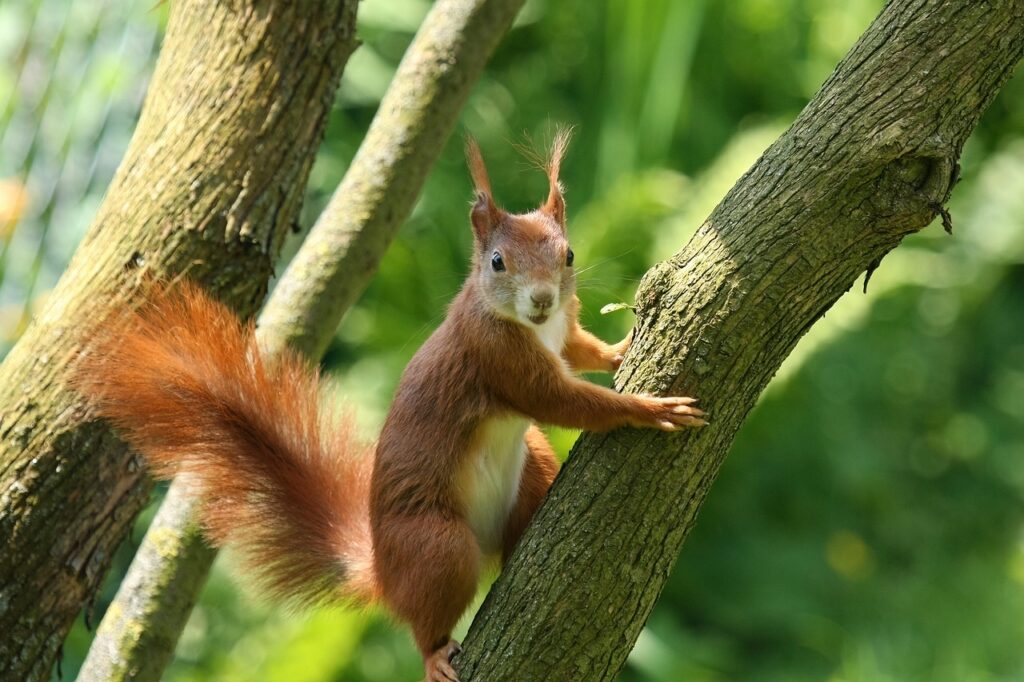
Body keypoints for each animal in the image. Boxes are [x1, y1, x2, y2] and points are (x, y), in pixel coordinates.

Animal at [73, 131, 706, 682]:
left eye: (569, 254)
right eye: (497, 262)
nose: (543, 299)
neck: (532, 327)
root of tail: (383, 570)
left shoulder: (562, 334)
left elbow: (580, 351)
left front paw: (620, 347)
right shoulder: (496, 358)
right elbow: (564, 401)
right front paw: (649, 408)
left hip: (529, 464)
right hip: (435, 545)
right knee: (427, 616)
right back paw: (434, 654)